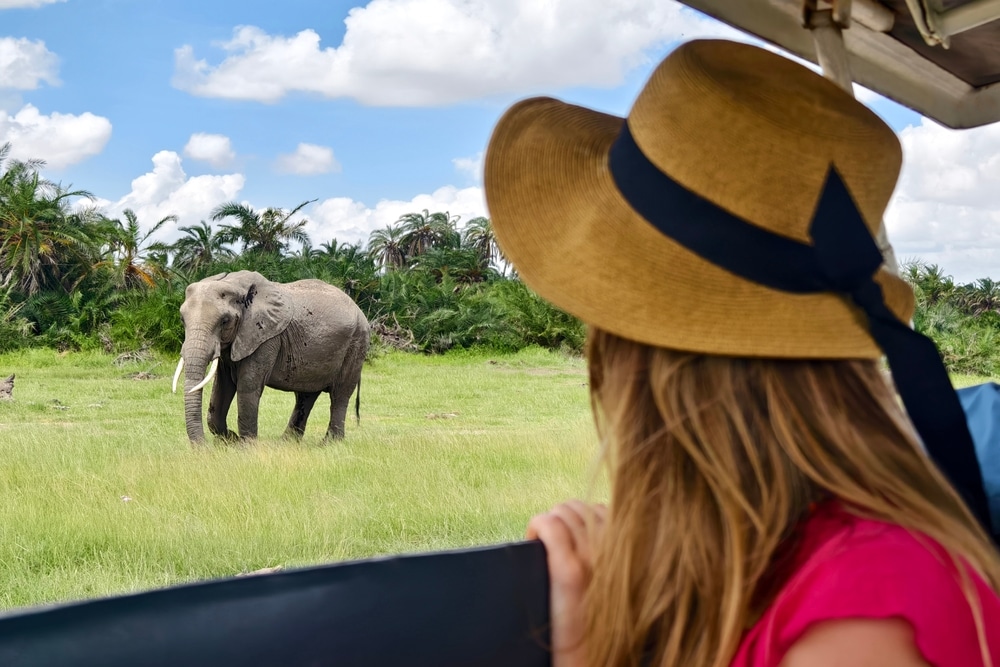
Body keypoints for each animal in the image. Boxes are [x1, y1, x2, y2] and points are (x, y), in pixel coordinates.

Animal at [172, 272, 372, 444]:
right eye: (182, 319)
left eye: (224, 321)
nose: (203, 447)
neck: (234, 282)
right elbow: (223, 386)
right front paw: (231, 441)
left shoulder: (267, 337)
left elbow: (248, 385)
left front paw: (246, 446)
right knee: (306, 395)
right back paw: (287, 442)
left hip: (357, 343)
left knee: (339, 394)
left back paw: (329, 443)